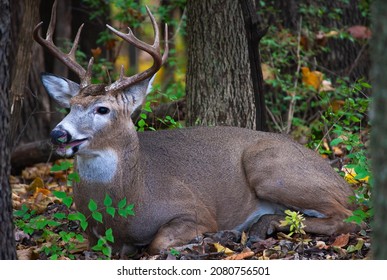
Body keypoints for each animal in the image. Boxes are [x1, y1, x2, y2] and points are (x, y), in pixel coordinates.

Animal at [34, 1, 360, 256]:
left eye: (103, 109)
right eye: (70, 106)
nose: (58, 134)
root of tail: (344, 184)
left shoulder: (195, 210)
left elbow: (158, 242)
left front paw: (204, 241)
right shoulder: (92, 234)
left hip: (270, 168)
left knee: (348, 216)